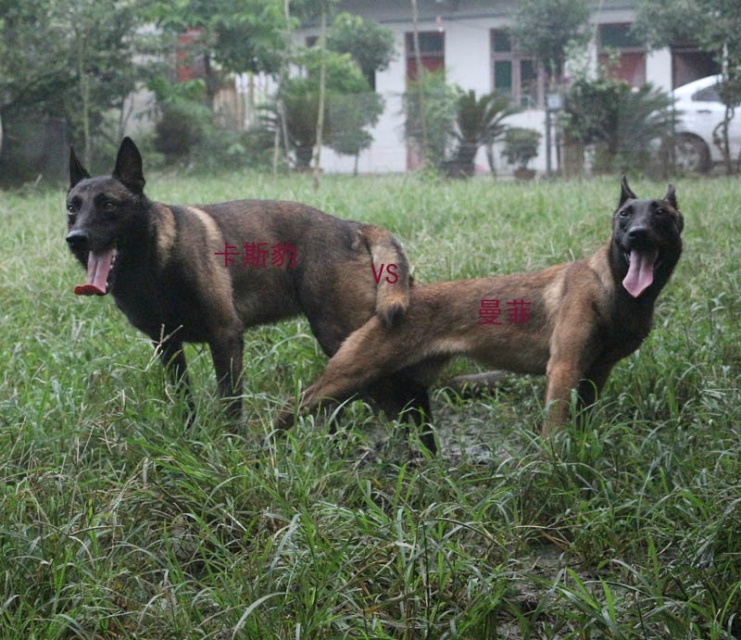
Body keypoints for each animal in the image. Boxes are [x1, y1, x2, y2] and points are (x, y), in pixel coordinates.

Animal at [66, 136, 420, 424]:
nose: (75, 239)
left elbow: (231, 405)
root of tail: (353, 227)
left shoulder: (225, 337)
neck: (155, 262)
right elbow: (184, 399)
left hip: (340, 335)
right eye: (72, 208)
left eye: (108, 205)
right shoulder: (167, 345)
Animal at [278, 178, 684, 442]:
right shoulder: (564, 368)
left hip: (394, 386)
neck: (614, 290)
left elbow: (581, 423)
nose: (637, 235)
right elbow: (553, 431)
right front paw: (554, 470)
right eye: (625, 215)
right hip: (351, 373)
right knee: (294, 404)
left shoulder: (595, 374)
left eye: (661, 214)